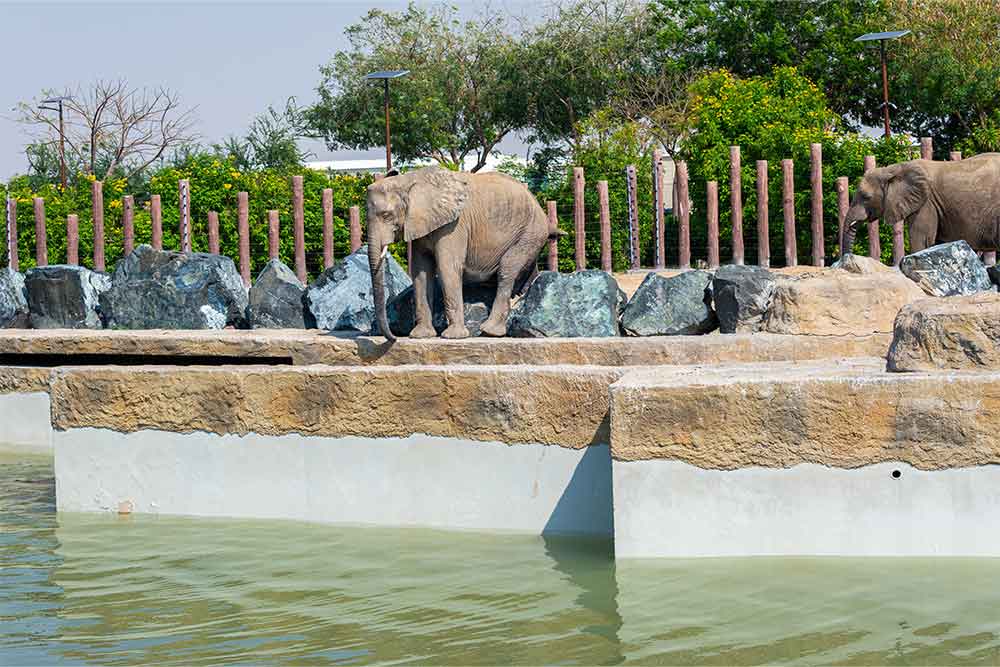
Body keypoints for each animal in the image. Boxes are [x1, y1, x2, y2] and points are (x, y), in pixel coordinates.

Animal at [368, 166, 556, 342]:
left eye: (386, 215)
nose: (394, 338)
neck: (409, 181)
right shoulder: (420, 224)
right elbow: (421, 272)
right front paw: (421, 336)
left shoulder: (454, 225)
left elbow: (447, 268)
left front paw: (453, 337)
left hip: (530, 233)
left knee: (507, 270)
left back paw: (490, 331)